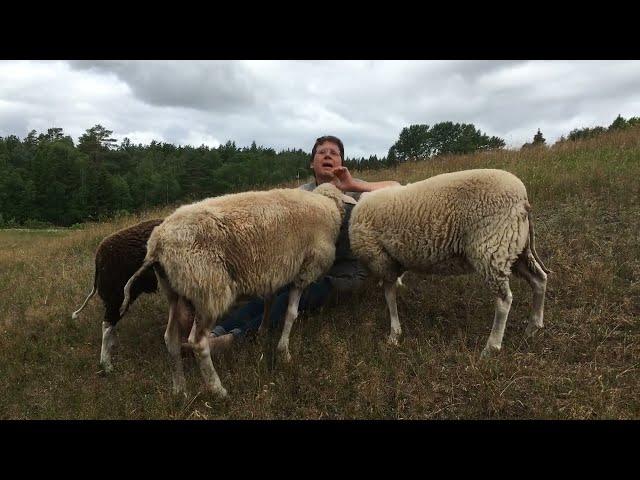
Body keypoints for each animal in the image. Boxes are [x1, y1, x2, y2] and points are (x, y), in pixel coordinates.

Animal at [119, 182, 356, 396]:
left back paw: (180, 389)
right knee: (197, 342)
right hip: (208, 289)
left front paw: (263, 330)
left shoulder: (273, 271)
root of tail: (158, 244)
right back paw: (218, 390)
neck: (326, 204)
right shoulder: (305, 269)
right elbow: (290, 314)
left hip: (175, 292)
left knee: (171, 338)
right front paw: (284, 352)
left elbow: (269, 301)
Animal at [350, 169, 552, 356]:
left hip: (492, 248)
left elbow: (389, 296)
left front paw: (394, 333)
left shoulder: (381, 259)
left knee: (504, 300)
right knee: (539, 279)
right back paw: (533, 327)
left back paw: (491, 346)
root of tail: (522, 199)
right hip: (515, 248)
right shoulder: (391, 262)